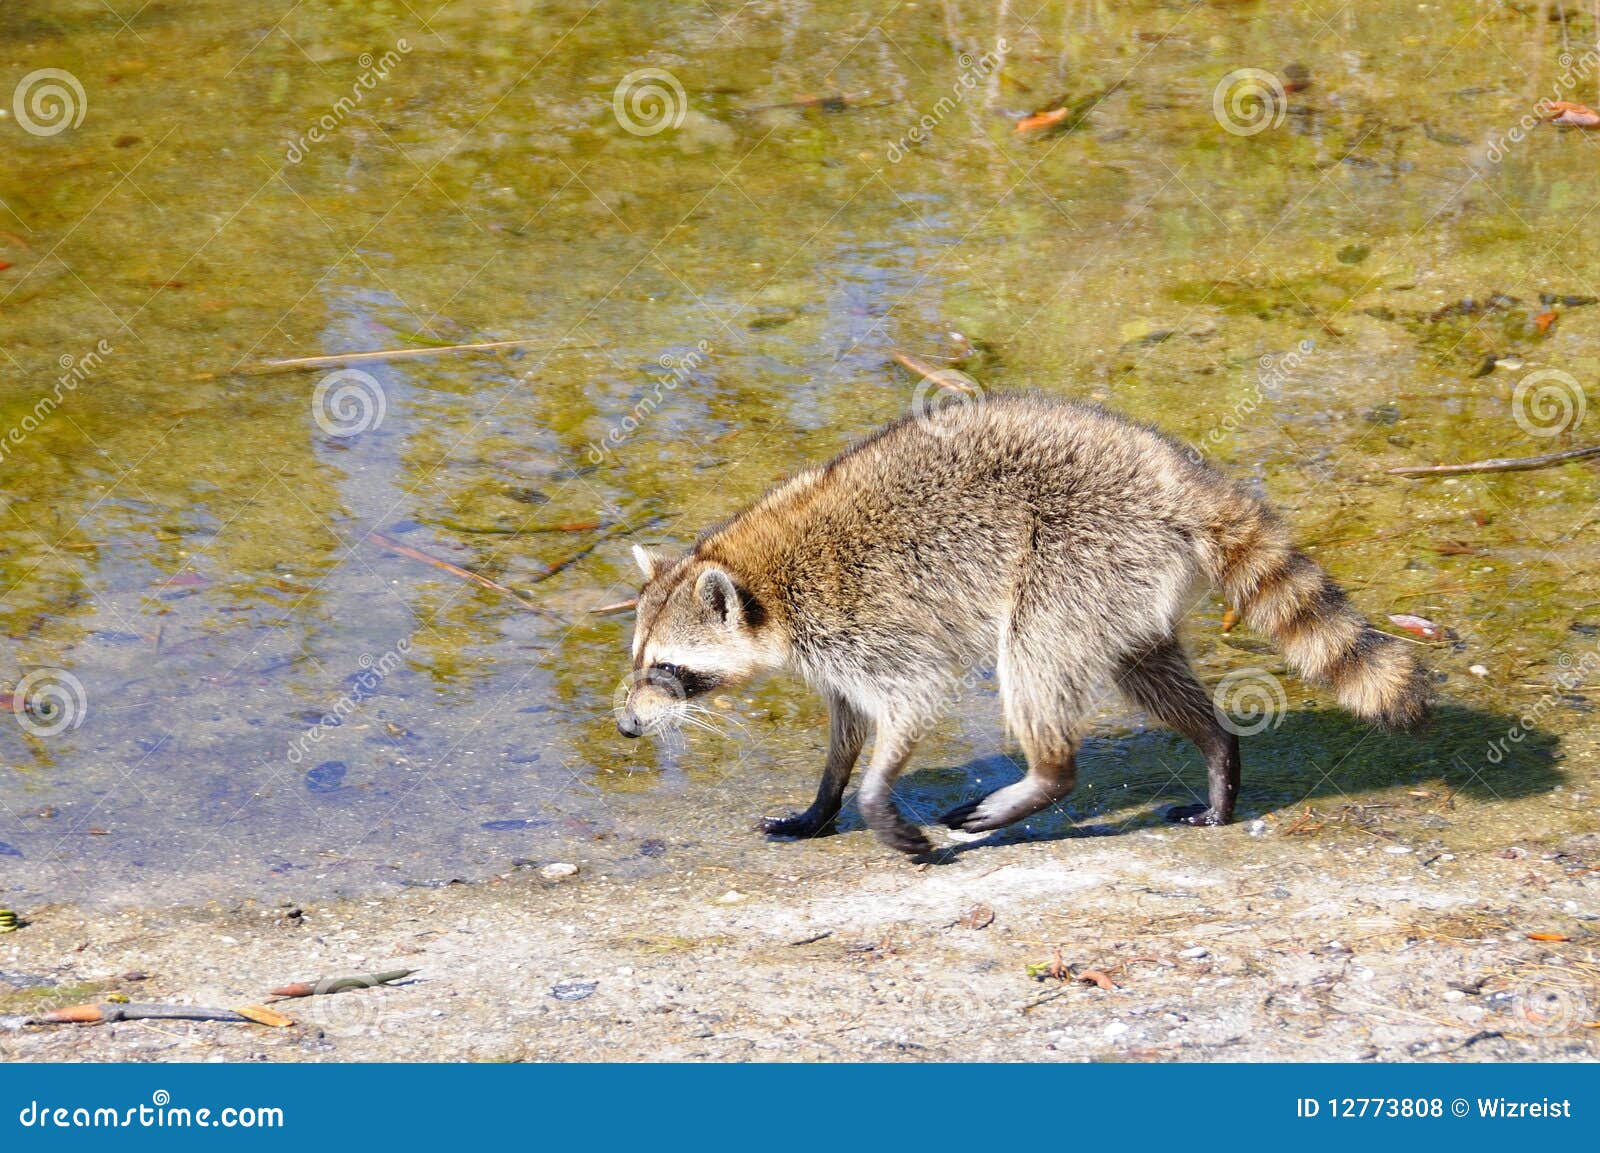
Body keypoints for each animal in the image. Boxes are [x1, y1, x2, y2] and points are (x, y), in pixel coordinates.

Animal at [617, 393, 1428, 856]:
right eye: (637, 659)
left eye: (666, 668)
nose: (625, 726)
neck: (762, 582)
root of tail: (1178, 479)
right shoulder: (831, 649)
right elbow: (846, 722)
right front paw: (824, 798)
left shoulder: (865, 621)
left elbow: (913, 698)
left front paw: (875, 794)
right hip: (1126, 579)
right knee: (1144, 664)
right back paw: (1219, 751)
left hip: (1076, 552)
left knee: (1035, 656)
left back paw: (1044, 776)